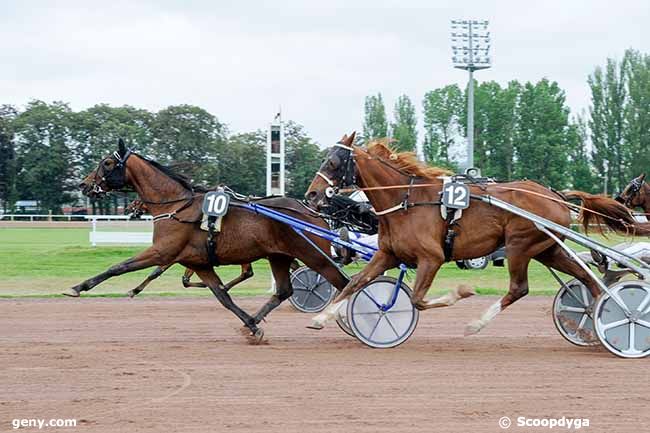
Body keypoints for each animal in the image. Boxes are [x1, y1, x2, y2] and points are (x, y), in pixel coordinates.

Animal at [69, 140, 350, 340]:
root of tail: (312, 211)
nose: (84, 185)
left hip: (312, 255)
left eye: (107, 162)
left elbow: (119, 267)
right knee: (284, 291)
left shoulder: (163, 251)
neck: (177, 206)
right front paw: (251, 326)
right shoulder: (199, 262)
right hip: (278, 256)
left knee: (344, 283)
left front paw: (79, 286)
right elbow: (222, 297)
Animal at [306, 133, 644, 336]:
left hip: (520, 245)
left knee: (519, 288)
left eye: (333, 162)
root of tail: (555, 195)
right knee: (587, 279)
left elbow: (417, 300)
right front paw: (322, 318)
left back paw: (476, 324)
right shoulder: (387, 254)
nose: (311, 194)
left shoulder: (431, 258)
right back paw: (601, 318)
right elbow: (356, 283)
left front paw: (462, 292)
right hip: (548, 249)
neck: (406, 200)